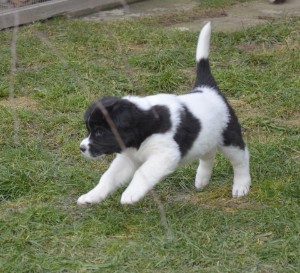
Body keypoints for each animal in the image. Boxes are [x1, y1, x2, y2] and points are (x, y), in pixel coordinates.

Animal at [77, 21, 251, 204]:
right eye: (89, 130)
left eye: (100, 132)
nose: (82, 148)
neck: (143, 125)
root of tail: (207, 89)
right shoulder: (128, 157)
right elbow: (108, 177)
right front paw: (91, 196)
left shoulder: (164, 154)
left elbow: (142, 173)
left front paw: (131, 194)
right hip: (206, 138)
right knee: (208, 155)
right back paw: (202, 180)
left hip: (229, 138)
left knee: (241, 159)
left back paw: (241, 186)